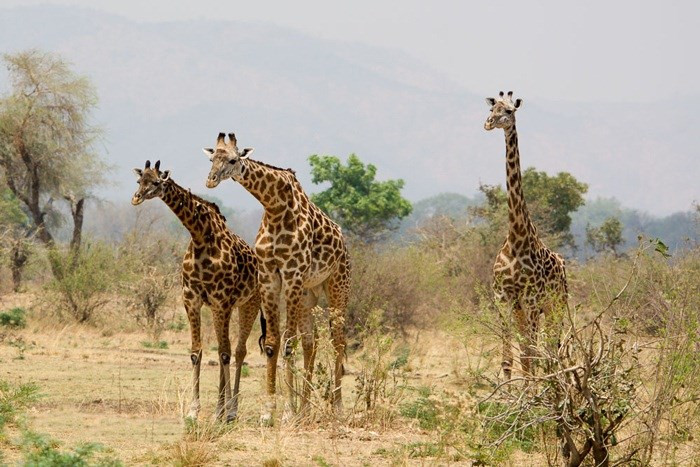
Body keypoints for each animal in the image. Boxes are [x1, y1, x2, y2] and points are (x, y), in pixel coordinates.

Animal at [131, 159, 264, 423]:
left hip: (249, 303)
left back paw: (231, 410)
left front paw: (221, 411)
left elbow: (224, 353)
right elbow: (197, 352)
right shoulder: (192, 300)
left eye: (156, 182)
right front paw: (194, 410)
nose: (136, 198)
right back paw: (223, 409)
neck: (201, 236)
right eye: (140, 180)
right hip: (226, 307)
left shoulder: (221, 300)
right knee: (228, 350)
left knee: (238, 351)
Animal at [203, 133, 350, 417]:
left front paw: (286, 412)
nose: (211, 180)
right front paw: (269, 410)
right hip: (308, 293)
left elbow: (288, 343)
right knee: (311, 342)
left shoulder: (291, 274)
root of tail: (344, 243)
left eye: (233, 159)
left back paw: (336, 407)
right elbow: (273, 343)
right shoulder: (269, 276)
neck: (273, 206)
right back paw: (305, 409)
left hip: (338, 285)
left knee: (338, 340)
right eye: (211, 157)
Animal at [484, 91, 568, 379]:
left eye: (509, 111)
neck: (516, 237)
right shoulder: (504, 299)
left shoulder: (531, 300)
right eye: (492, 109)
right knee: (534, 351)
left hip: (556, 306)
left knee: (553, 351)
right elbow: (509, 359)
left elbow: (531, 355)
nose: (488, 123)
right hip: (525, 311)